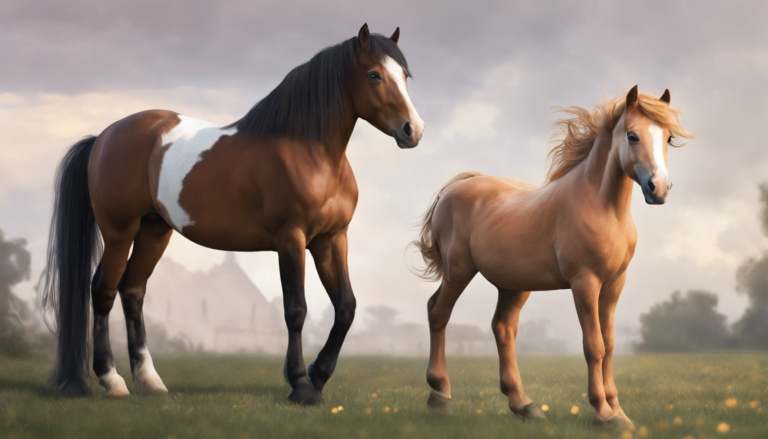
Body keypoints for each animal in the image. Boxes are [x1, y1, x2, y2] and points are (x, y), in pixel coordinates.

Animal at [39, 23, 424, 405]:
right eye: (374, 75)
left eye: (405, 75)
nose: (413, 130)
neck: (310, 152)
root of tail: (104, 136)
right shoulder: (291, 238)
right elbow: (295, 309)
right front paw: (301, 384)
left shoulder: (331, 240)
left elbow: (346, 307)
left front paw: (318, 374)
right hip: (120, 231)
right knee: (103, 291)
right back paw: (112, 380)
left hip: (154, 230)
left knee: (132, 290)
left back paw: (150, 380)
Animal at [413, 86, 692, 424]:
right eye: (632, 135)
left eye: (668, 138)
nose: (658, 188)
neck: (602, 207)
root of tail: (454, 189)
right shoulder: (585, 284)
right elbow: (594, 347)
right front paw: (603, 413)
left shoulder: (614, 285)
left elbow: (610, 345)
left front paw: (619, 413)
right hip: (459, 271)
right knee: (438, 313)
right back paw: (440, 394)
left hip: (514, 285)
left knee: (503, 328)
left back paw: (524, 404)